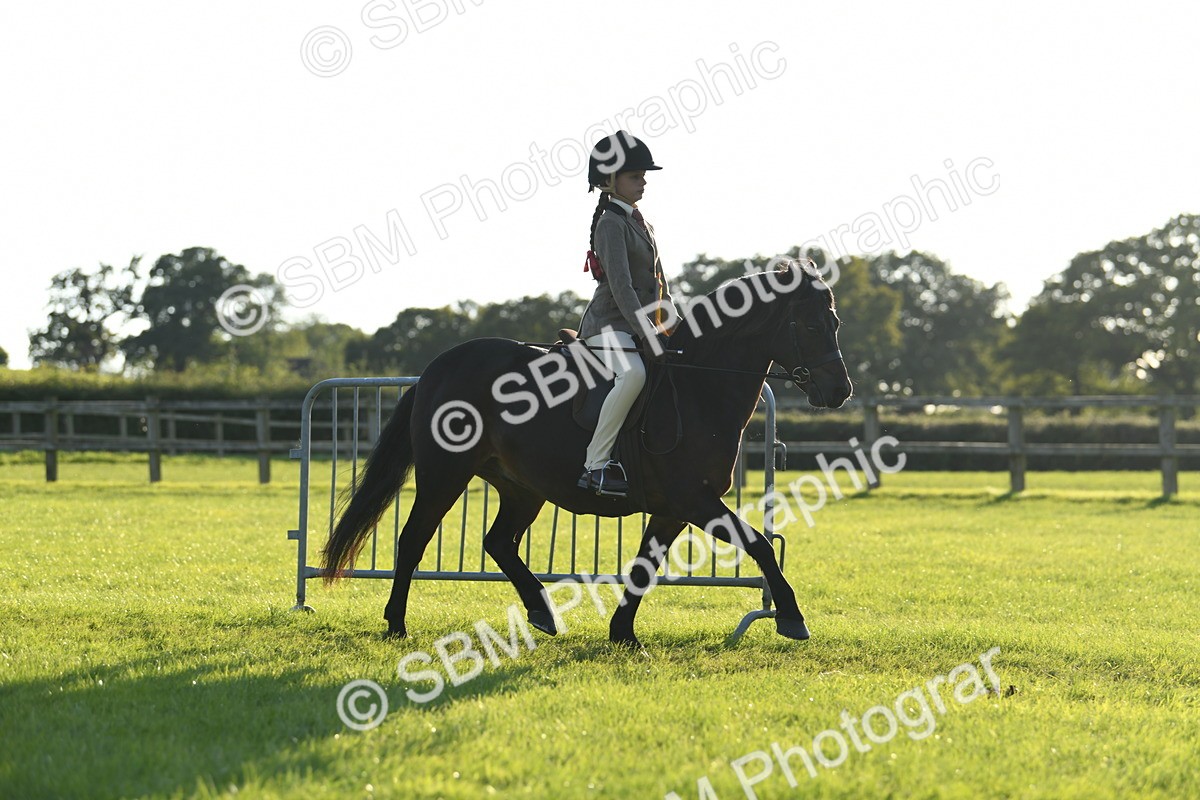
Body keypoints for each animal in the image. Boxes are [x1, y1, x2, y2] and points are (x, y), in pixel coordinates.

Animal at [321, 263, 853, 647]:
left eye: (835, 322)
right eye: (809, 323)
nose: (839, 391)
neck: (698, 386)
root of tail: (438, 368)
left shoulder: (672, 509)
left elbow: (643, 567)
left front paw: (623, 635)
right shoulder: (693, 500)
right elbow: (760, 545)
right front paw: (792, 617)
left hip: (522, 487)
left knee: (498, 542)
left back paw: (541, 610)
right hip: (444, 475)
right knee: (413, 540)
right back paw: (396, 625)